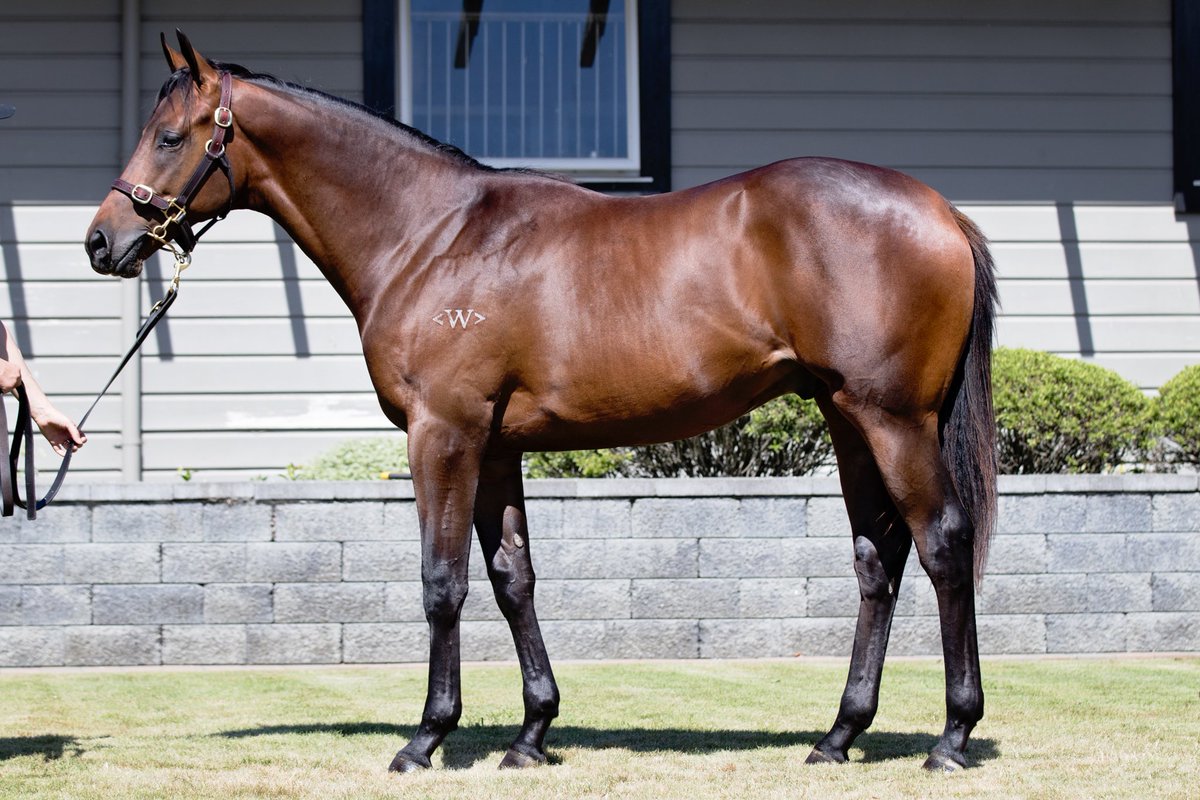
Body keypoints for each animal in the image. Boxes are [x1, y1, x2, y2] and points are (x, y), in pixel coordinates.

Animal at [85, 32, 998, 774]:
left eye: (170, 136)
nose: (102, 241)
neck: (431, 235)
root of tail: (941, 211)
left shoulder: (443, 434)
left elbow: (442, 580)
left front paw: (426, 738)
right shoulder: (494, 446)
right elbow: (511, 578)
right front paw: (531, 734)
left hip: (892, 421)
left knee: (944, 545)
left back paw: (951, 737)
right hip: (847, 420)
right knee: (878, 561)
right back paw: (839, 736)